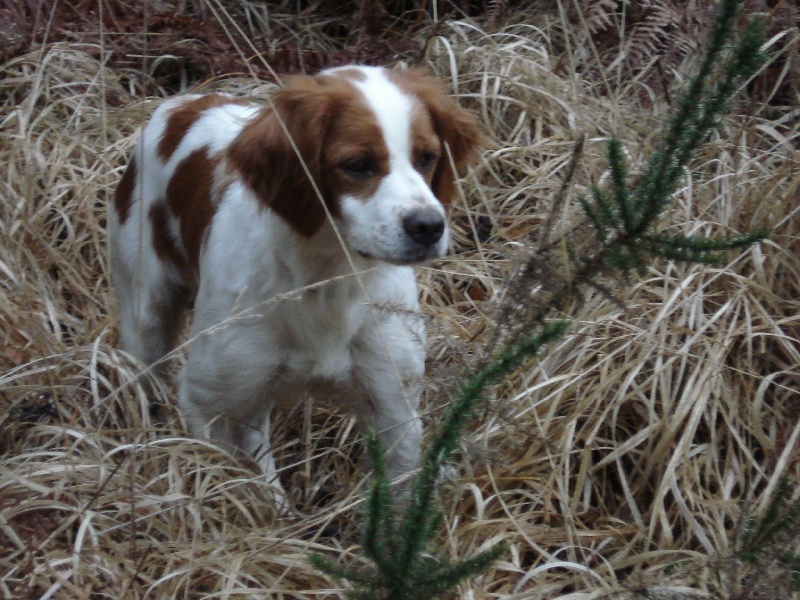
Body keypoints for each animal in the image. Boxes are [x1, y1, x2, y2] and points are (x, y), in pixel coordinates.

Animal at [108, 65, 480, 502]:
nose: (429, 227)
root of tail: (186, 101)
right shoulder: (208, 399)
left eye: (427, 158)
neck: (327, 279)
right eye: (357, 164)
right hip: (145, 318)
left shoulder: (396, 405)